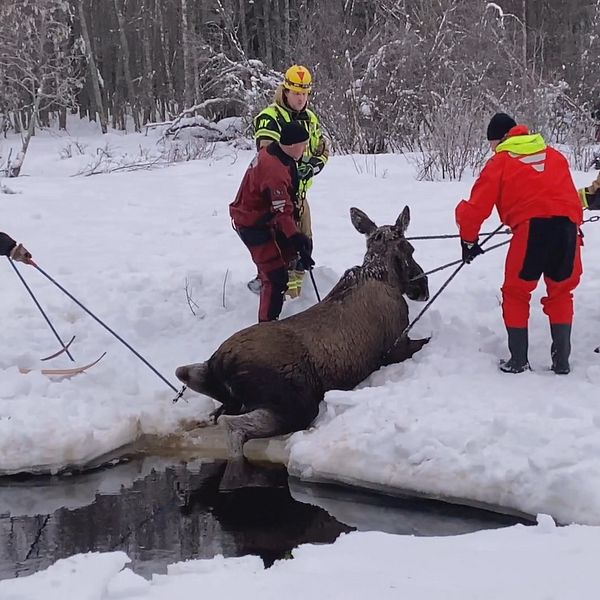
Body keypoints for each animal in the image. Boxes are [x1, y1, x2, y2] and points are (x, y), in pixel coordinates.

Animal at [176, 206, 428, 454]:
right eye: (410, 249)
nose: (422, 288)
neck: (384, 275)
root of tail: (220, 363)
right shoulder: (396, 347)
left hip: (227, 395)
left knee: (211, 407)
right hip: (294, 403)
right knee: (231, 425)